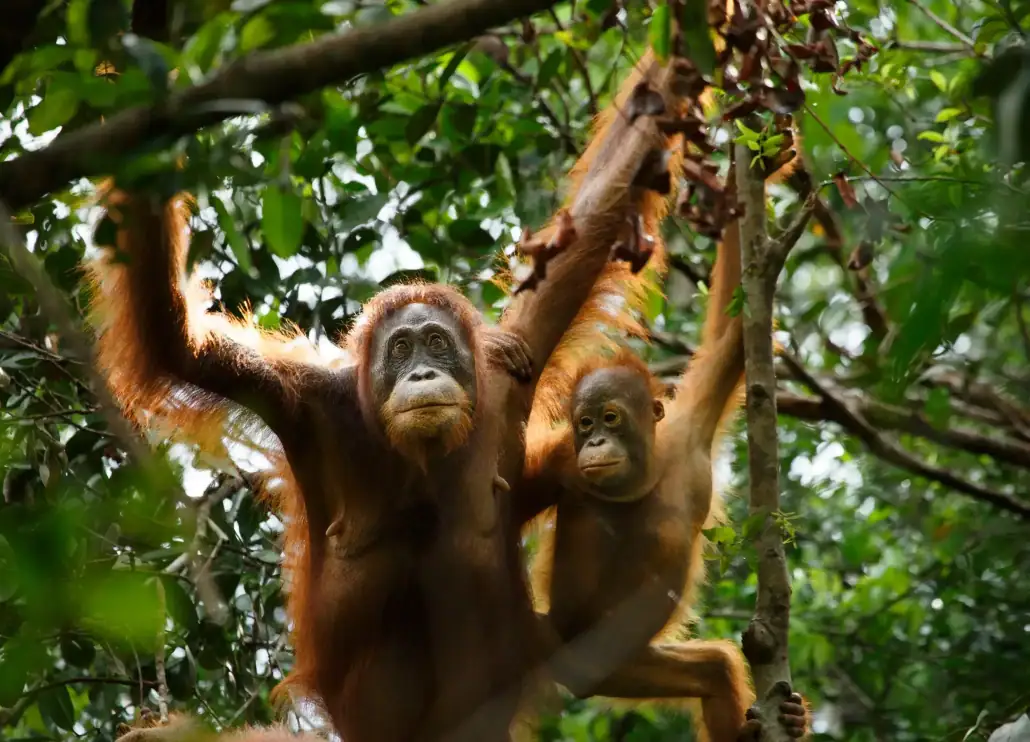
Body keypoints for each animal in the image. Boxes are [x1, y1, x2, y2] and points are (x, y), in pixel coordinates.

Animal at [86, 48, 696, 742]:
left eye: (435, 343)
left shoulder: (507, 380)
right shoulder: (303, 398)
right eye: (401, 349)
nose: (423, 375)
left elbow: (591, 229)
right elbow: (178, 346)